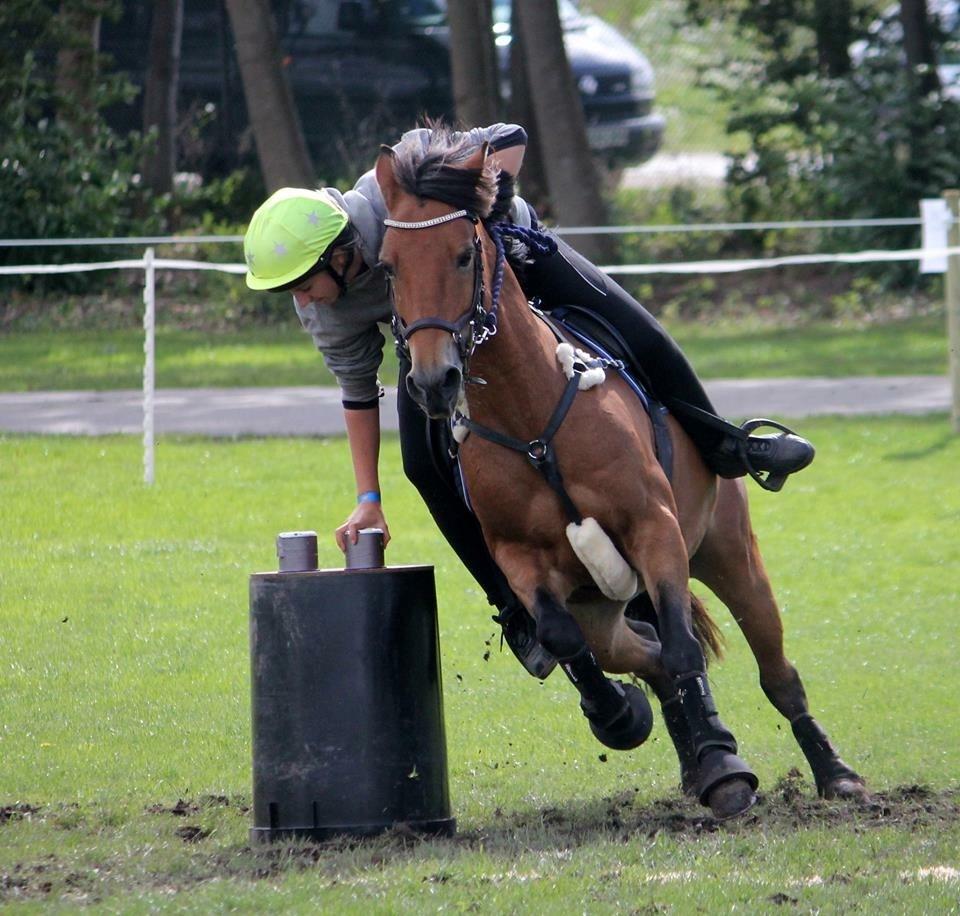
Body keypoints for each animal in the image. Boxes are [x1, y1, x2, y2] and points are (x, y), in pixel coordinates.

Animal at [376, 132, 872, 820]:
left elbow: (687, 647)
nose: (431, 380)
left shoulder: (653, 528)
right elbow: (565, 635)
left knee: (774, 671)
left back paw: (829, 773)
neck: (534, 422)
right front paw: (621, 716)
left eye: (462, 254)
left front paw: (723, 763)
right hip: (604, 611)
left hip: (730, 553)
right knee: (642, 652)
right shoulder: (520, 558)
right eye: (388, 267)